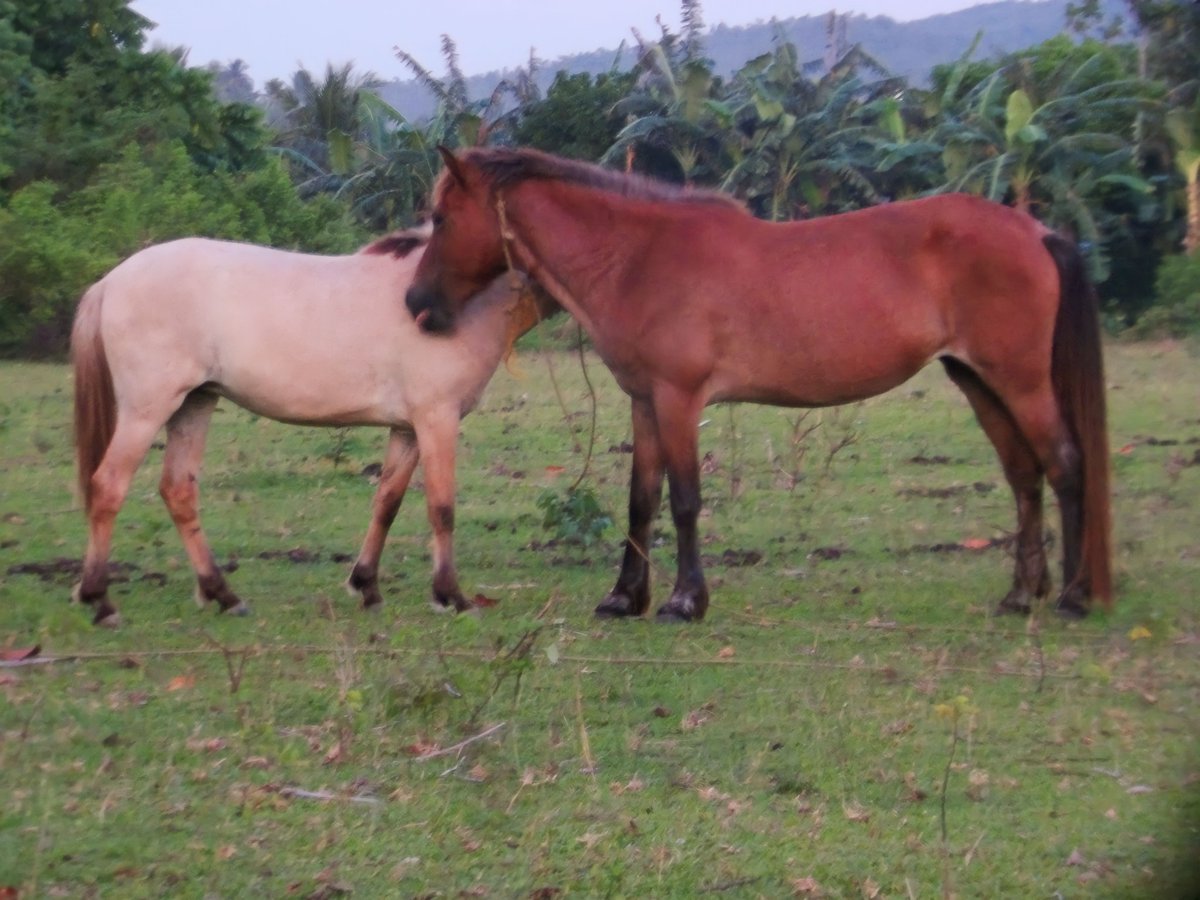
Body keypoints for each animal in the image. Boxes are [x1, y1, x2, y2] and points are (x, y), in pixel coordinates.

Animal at [70, 229, 553, 627]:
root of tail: (109, 282)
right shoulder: (437, 418)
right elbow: (442, 507)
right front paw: (452, 597)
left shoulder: (408, 429)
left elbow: (388, 502)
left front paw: (367, 587)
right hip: (147, 410)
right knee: (108, 486)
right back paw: (101, 601)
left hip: (194, 404)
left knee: (177, 491)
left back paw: (223, 595)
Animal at [405, 146, 1113, 623]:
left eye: (441, 217)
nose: (416, 304)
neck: (639, 257)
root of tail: (1037, 231)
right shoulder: (644, 401)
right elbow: (642, 499)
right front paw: (625, 597)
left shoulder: (679, 399)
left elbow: (685, 501)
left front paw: (685, 600)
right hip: (978, 382)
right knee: (1024, 476)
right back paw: (1022, 593)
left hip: (1020, 382)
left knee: (1065, 464)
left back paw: (1075, 595)